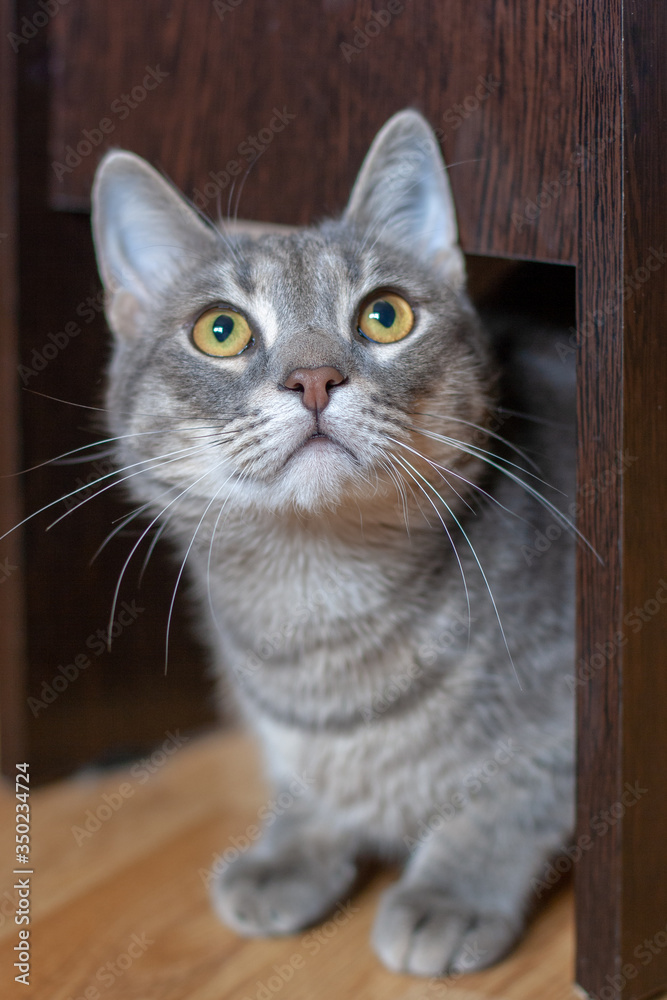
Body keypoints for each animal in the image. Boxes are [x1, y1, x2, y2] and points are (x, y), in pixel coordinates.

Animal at [91, 111, 576, 976]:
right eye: (221, 330)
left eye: (384, 316)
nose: (313, 378)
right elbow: (308, 783)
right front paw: (292, 845)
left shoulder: (574, 712)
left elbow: (509, 797)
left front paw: (449, 890)